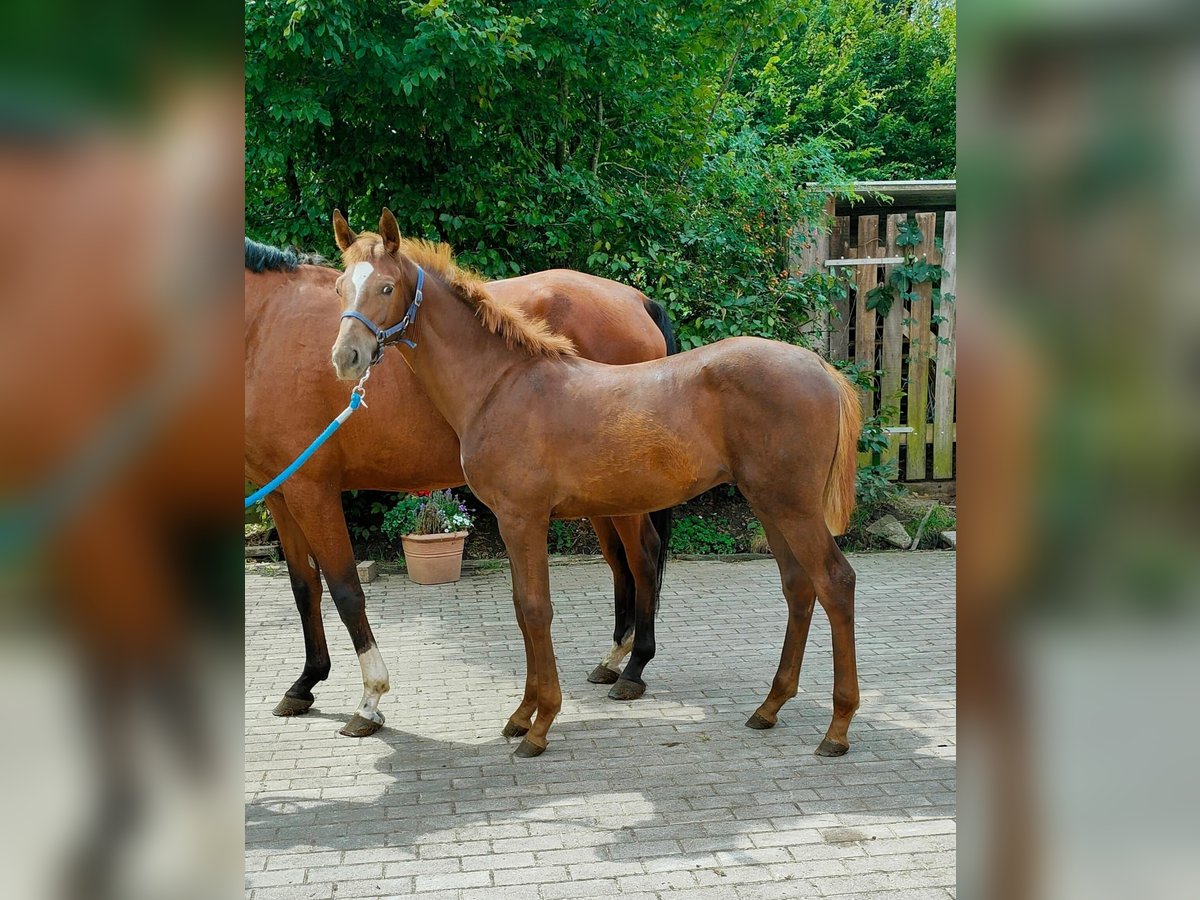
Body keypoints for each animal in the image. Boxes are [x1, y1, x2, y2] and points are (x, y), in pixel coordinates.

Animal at [243, 229, 676, 734]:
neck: (266, 328)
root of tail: (637, 300)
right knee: (619, 561)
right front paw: (305, 682)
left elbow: (346, 589)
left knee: (642, 557)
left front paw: (369, 699)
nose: (346, 360)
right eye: (338, 289)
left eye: (386, 288)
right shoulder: (279, 491)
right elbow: (303, 587)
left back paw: (634, 669)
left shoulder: (313, 490)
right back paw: (612, 660)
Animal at [331, 210, 864, 763]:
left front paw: (540, 724)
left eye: (386, 286)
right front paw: (522, 715)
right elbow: (522, 609)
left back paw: (837, 727)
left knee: (835, 582)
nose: (346, 357)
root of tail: (821, 368)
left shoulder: (523, 518)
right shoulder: (512, 522)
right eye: (339, 287)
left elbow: (536, 611)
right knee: (798, 586)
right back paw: (770, 706)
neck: (502, 383)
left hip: (793, 507)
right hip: (769, 504)